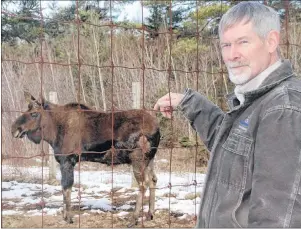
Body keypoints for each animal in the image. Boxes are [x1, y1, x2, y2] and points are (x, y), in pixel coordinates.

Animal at [11, 91, 161, 227]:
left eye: (34, 113)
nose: (14, 129)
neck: (53, 132)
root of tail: (158, 129)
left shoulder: (67, 160)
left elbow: (66, 187)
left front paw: (68, 217)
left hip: (138, 158)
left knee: (143, 184)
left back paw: (134, 219)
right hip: (150, 159)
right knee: (153, 180)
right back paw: (150, 214)